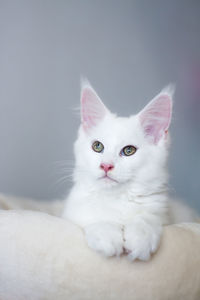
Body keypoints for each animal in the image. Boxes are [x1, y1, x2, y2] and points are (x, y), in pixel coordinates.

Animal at [63, 81, 197, 262]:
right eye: (97, 146)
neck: (117, 199)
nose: (106, 165)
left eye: (128, 151)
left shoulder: (163, 214)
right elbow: (94, 218)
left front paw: (141, 238)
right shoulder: (73, 212)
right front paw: (106, 234)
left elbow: (146, 219)